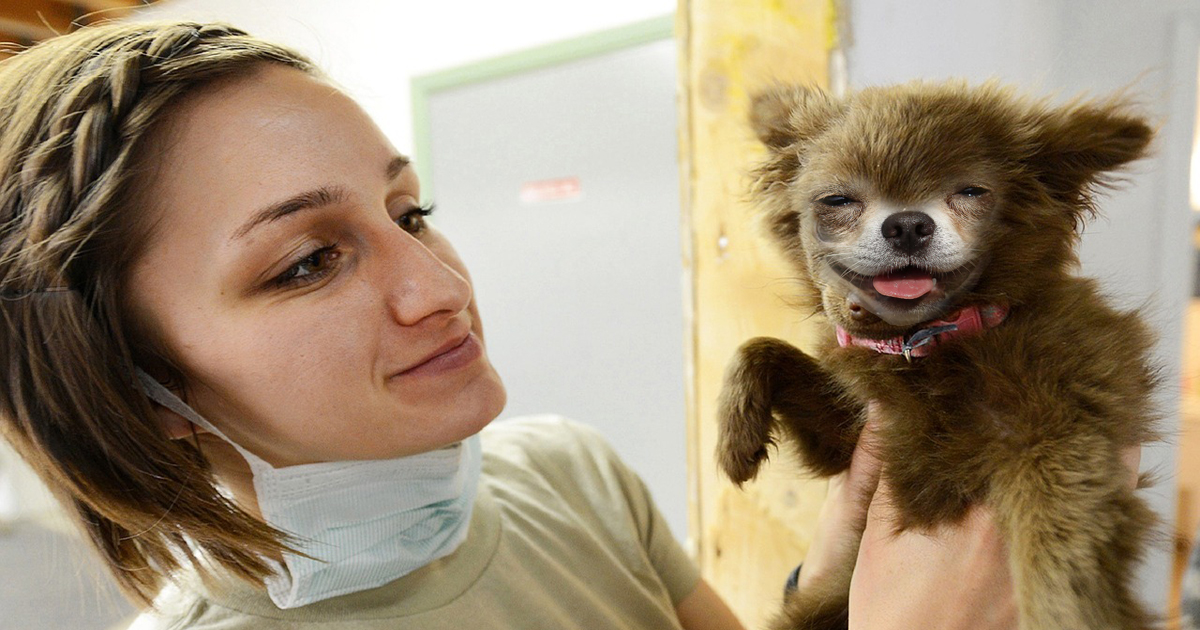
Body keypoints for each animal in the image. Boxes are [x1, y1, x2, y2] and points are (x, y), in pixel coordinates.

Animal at [715, 81, 1156, 624]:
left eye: (970, 192)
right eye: (837, 200)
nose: (907, 223)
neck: (924, 347)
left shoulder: (1065, 434)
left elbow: (1057, 543)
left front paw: (1065, 614)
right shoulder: (842, 443)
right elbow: (760, 347)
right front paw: (736, 436)